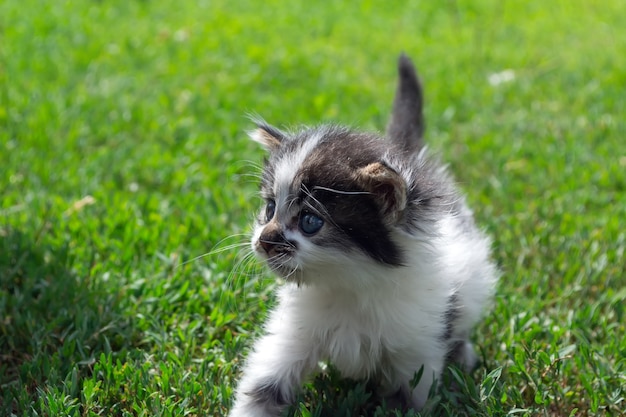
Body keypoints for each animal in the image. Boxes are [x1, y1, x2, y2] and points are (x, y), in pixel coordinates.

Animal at [229, 55, 498, 416]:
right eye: (270, 209)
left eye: (310, 221)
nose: (264, 241)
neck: (349, 285)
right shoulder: (293, 333)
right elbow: (263, 387)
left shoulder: (416, 352)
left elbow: (407, 400)